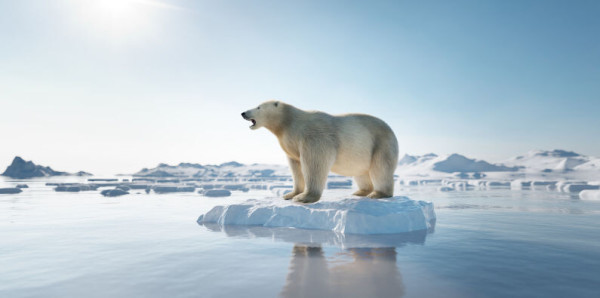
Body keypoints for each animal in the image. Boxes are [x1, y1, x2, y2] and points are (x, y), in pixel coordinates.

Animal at [239, 101, 398, 204]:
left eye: (258, 107)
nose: (243, 113)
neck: (289, 123)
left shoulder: (314, 136)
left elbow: (314, 163)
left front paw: (303, 197)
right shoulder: (291, 144)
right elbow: (296, 167)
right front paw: (290, 194)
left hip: (381, 143)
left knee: (380, 168)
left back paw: (378, 193)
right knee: (361, 172)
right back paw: (361, 192)